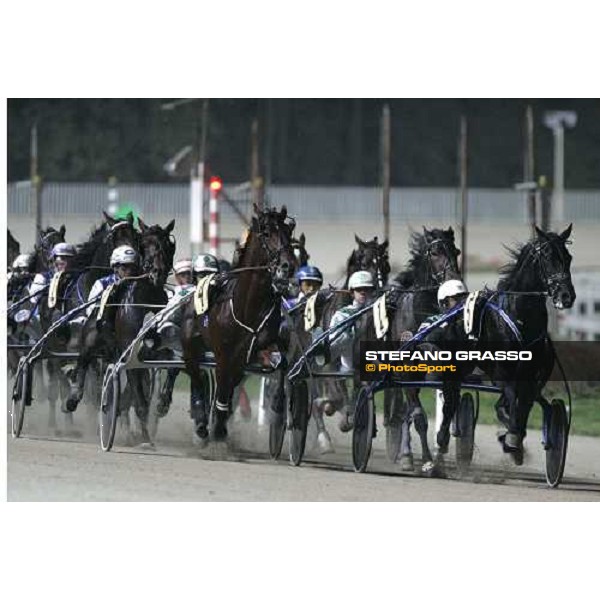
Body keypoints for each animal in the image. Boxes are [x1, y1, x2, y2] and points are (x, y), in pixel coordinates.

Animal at [180, 204, 298, 442]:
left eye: (288, 232)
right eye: (266, 232)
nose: (288, 264)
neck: (248, 307)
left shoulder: (256, 351)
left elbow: (280, 363)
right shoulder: (224, 355)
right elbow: (221, 386)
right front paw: (216, 427)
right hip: (190, 349)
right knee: (197, 377)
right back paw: (202, 422)